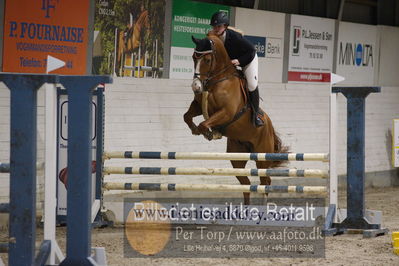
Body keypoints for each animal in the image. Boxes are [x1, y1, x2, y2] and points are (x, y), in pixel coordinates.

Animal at [184, 32, 288, 204]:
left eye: (207, 60)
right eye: (193, 57)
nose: (196, 86)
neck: (217, 79)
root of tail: (270, 126)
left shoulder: (227, 112)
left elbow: (204, 123)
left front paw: (210, 133)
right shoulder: (199, 106)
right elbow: (187, 116)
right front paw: (196, 130)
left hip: (262, 157)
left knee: (265, 182)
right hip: (237, 158)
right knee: (246, 184)